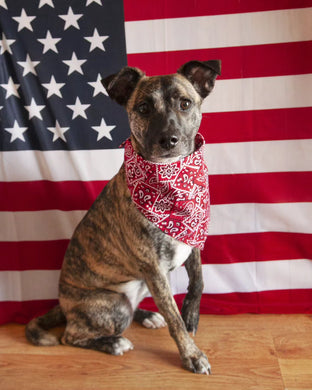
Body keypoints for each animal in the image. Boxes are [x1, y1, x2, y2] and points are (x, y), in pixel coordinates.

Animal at [25, 61, 221, 374]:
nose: (168, 139)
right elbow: (174, 319)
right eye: (143, 107)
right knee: (72, 336)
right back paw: (113, 343)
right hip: (114, 303)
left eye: (185, 103)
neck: (171, 180)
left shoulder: (191, 236)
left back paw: (148, 316)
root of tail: (64, 305)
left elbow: (198, 281)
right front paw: (191, 354)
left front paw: (191, 314)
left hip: (139, 285)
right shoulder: (154, 269)